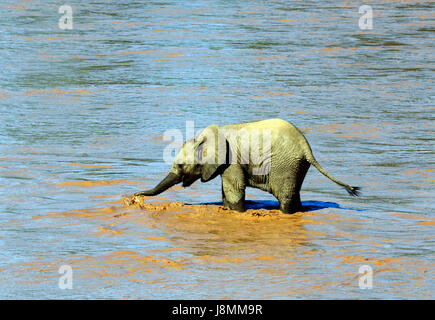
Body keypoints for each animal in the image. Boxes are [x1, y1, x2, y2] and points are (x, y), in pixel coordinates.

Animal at [135, 119, 362, 214]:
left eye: (181, 165)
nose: (136, 195)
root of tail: (307, 148)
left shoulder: (232, 161)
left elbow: (234, 190)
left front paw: (237, 212)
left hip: (285, 164)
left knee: (285, 196)